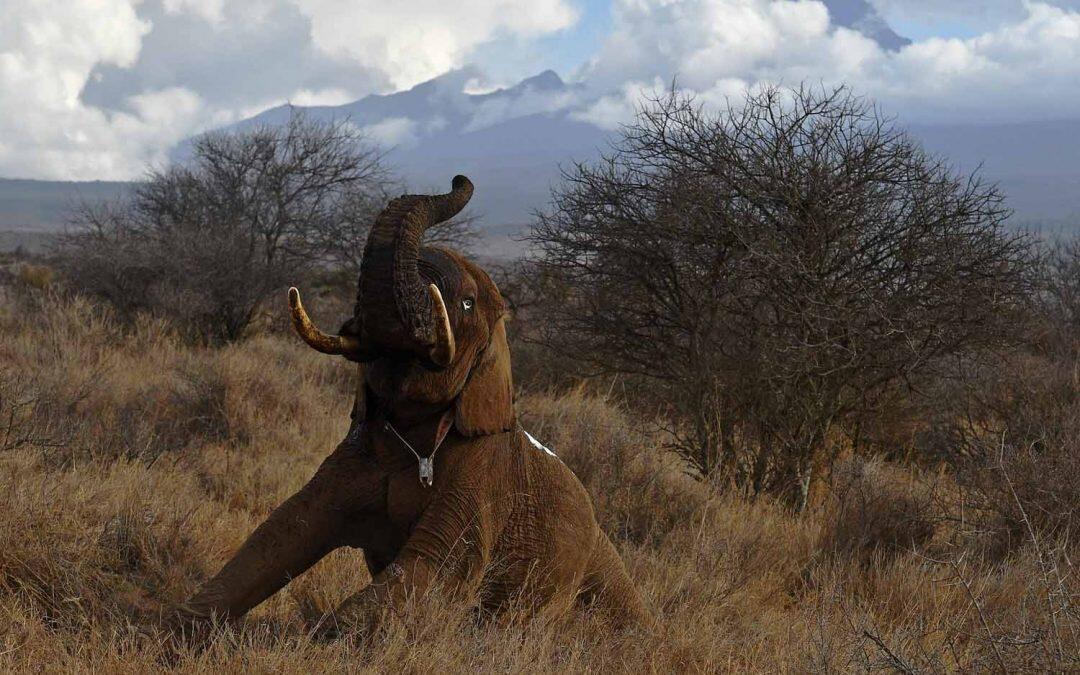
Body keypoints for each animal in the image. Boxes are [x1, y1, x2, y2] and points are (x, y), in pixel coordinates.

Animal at [177, 174, 652, 635]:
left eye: (466, 303)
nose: (459, 177)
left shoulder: (484, 480)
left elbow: (431, 566)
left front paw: (304, 640)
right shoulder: (355, 453)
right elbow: (283, 530)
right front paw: (175, 631)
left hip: (601, 570)